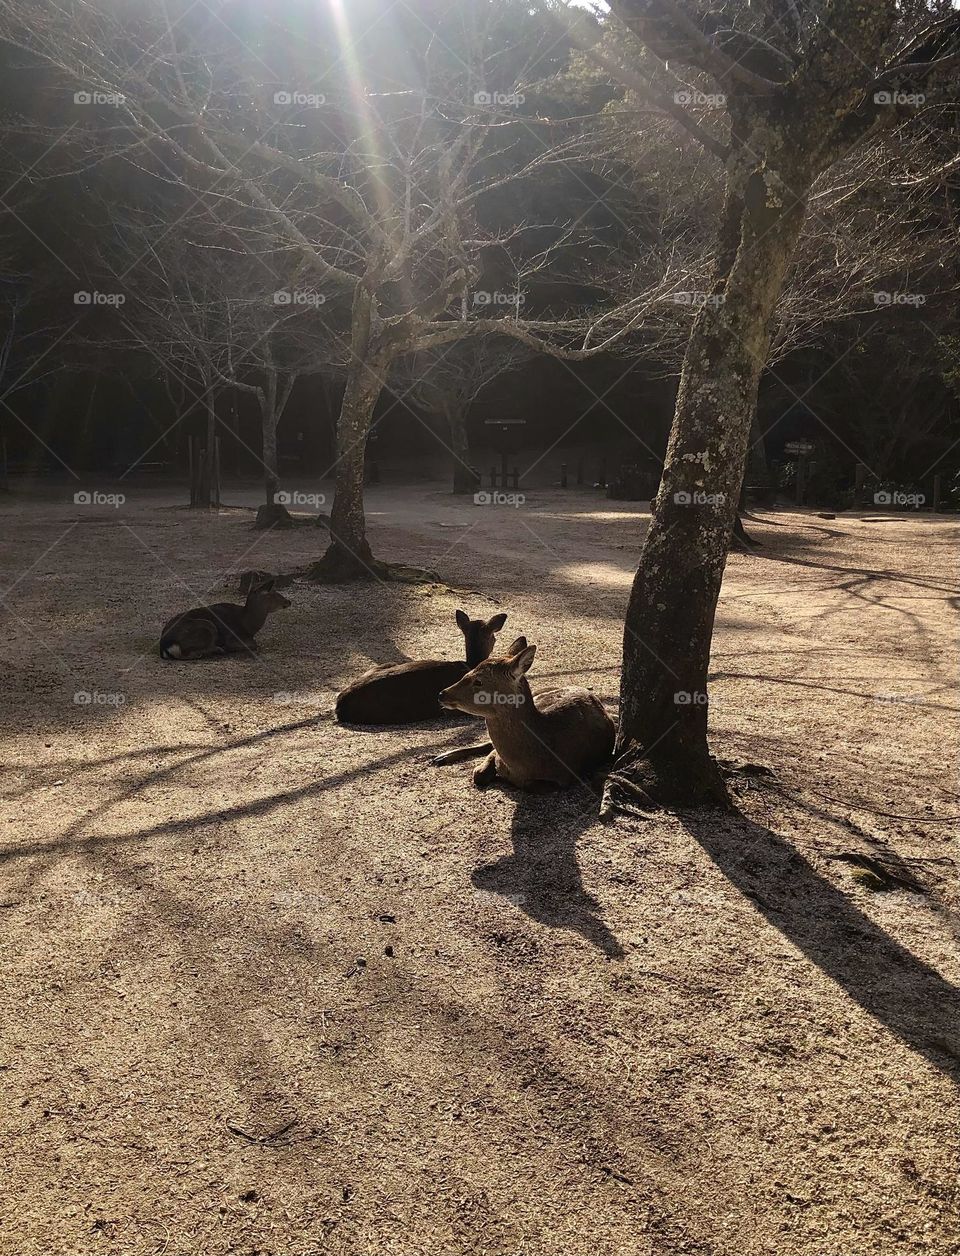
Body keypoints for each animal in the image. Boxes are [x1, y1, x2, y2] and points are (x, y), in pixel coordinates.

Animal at [159, 577, 291, 660]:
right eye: (274, 594)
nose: (288, 601)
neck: (248, 626)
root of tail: (165, 646)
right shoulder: (234, 637)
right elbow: (254, 644)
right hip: (208, 626)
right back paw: (216, 650)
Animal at [434, 641, 615, 789]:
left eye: (478, 681)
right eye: (468, 672)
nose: (442, 694)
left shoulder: (566, 777)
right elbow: (479, 772)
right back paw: (442, 756)